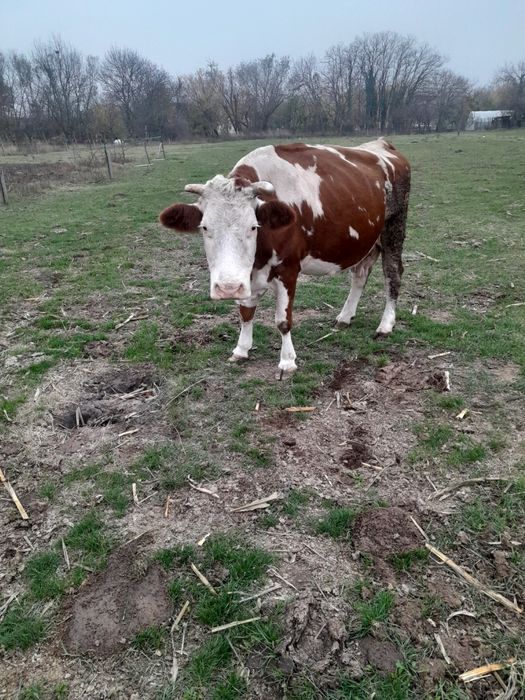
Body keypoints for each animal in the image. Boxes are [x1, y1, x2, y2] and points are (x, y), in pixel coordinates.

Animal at [159, 138, 410, 374]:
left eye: (253, 226)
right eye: (204, 227)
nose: (227, 288)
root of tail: (381, 144)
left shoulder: (288, 270)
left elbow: (283, 320)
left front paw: (287, 361)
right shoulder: (248, 274)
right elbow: (246, 312)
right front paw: (241, 349)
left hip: (394, 227)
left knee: (393, 274)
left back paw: (386, 324)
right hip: (368, 240)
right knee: (360, 275)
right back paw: (345, 317)